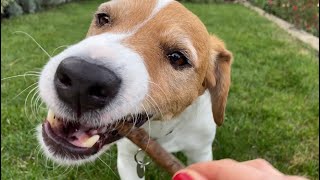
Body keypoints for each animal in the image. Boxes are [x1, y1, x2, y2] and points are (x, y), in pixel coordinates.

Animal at [37, 0, 232, 179]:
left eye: (178, 58)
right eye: (103, 18)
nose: (82, 77)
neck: (162, 128)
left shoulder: (201, 153)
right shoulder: (126, 157)